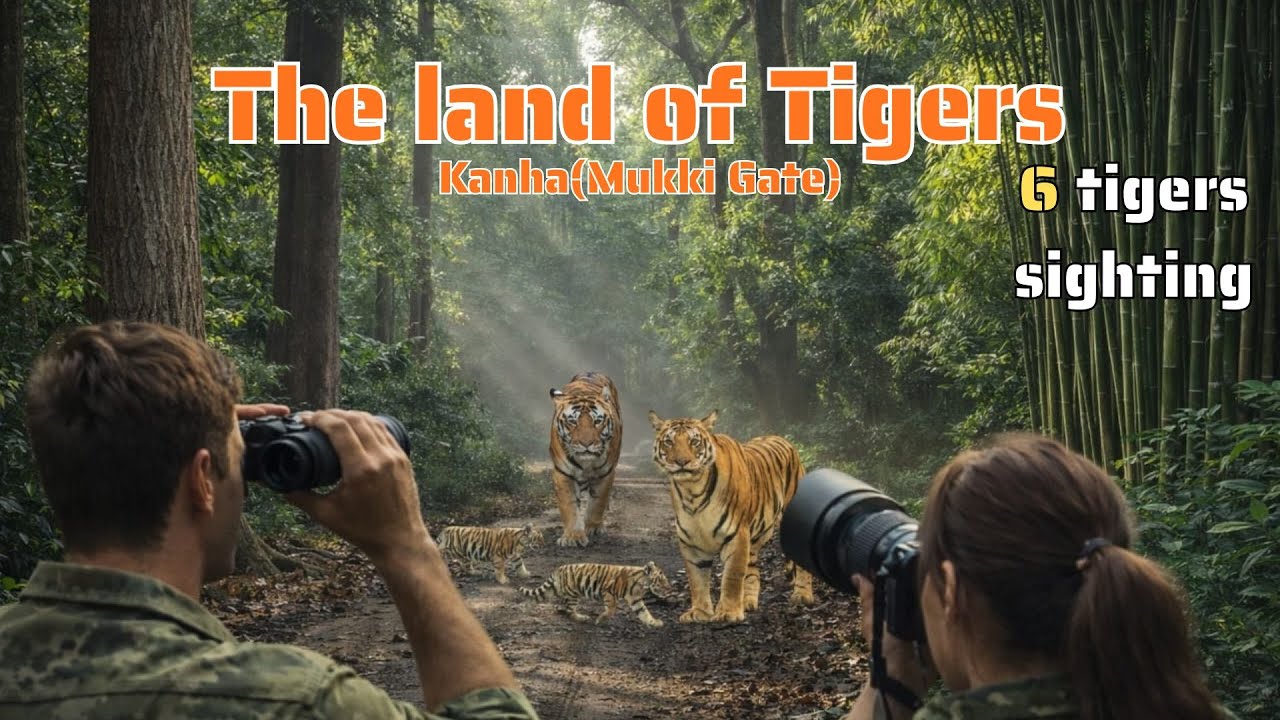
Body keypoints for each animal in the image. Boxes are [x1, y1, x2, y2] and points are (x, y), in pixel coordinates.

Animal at [520, 561, 670, 627]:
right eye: (661, 580)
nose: (669, 588)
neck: (642, 585)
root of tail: (558, 569)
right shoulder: (608, 592)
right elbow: (611, 609)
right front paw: (600, 619)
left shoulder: (636, 600)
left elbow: (644, 612)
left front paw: (655, 622)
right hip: (573, 594)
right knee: (570, 610)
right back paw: (581, 617)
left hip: (557, 589)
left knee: (542, 598)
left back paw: (527, 607)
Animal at [549, 372, 622, 547]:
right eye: (572, 421)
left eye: (597, 421)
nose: (586, 444)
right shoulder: (563, 473)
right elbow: (569, 505)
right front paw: (573, 536)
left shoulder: (606, 473)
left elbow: (598, 502)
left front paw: (593, 528)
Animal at [648, 409, 816, 623]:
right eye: (669, 442)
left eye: (694, 442)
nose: (681, 462)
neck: (692, 491)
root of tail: (783, 439)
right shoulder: (691, 544)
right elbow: (697, 580)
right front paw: (699, 612)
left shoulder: (736, 535)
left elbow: (732, 577)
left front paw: (728, 613)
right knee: (752, 569)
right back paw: (748, 602)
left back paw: (802, 596)